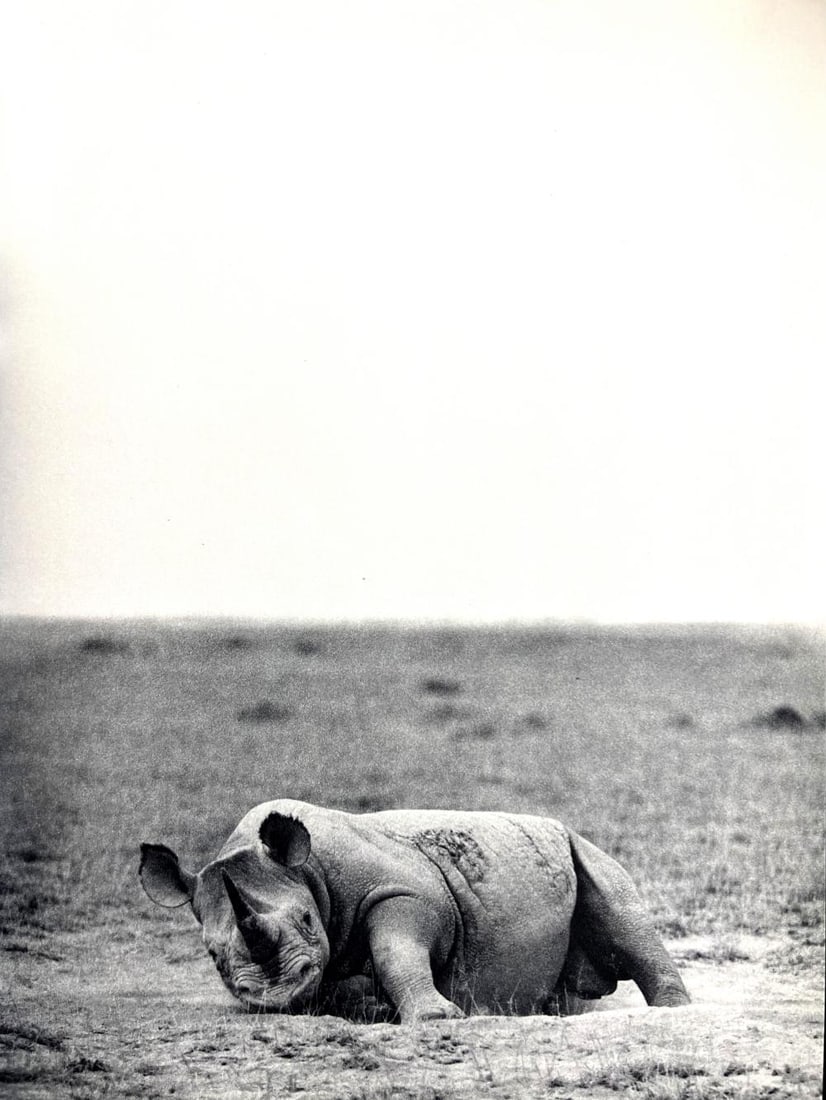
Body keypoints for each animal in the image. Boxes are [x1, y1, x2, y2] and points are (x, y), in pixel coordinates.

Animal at [139, 800, 689, 1021]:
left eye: (305, 921)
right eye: (213, 956)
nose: (276, 996)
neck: (310, 873)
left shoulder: (404, 894)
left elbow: (397, 951)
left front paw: (436, 1018)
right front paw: (373, 1007)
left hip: (581, 847)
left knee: (620, 908)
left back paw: (670, 1010)